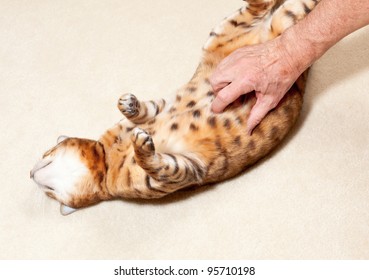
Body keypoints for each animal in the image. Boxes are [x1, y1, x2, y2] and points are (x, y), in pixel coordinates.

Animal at [30, 0, 320, 215]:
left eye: (47, 152)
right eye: (51, 194)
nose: (30, 173)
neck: (108, 158)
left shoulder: (155, 114)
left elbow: (146, 110)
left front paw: (128, 106)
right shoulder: (180, 171)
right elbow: (156, 161)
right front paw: (141, 142)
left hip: (225, 31)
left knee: (266, 4)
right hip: (269, 26)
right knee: (284, 8)